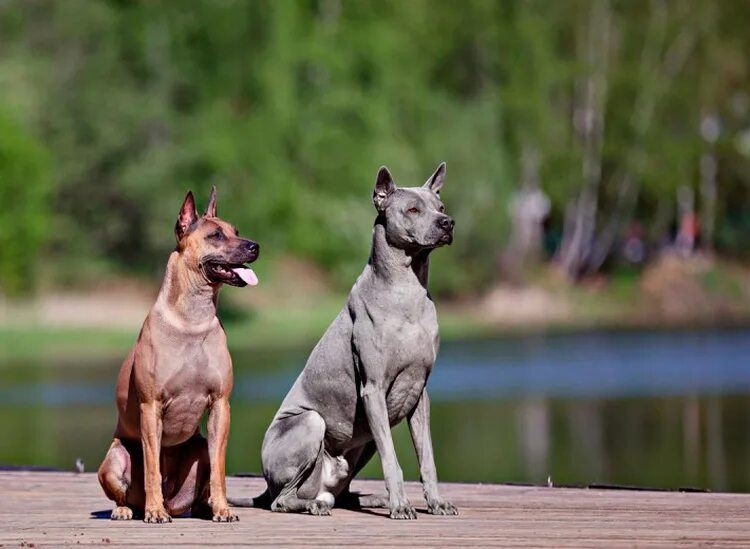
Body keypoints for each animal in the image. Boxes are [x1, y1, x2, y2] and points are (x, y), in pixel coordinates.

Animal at [98, 188, 260, 524]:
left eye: (236, 231)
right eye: (215, 235)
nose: (255, 246)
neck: (192, 320)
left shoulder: (221, 405)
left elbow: (220, 469)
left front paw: (223, 508)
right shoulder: (150, 407)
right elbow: (152, 468)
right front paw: (155, 511)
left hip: (198, 449)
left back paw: (204, 507)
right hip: (114, 458)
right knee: (127, 491)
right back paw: (128, 509)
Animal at [232, 162, 458, 520]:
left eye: (441, 207)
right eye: (412, 209)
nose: (448, 223)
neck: (405, 291)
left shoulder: (420, 392)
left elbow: (427, 460)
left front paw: (436, 503)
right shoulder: (373, 389)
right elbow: (393, 460)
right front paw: (401, 506)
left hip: (362, 442)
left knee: (341, 492)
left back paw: (367, 499)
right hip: (312, 423)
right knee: (282, 499)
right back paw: (316, 505)